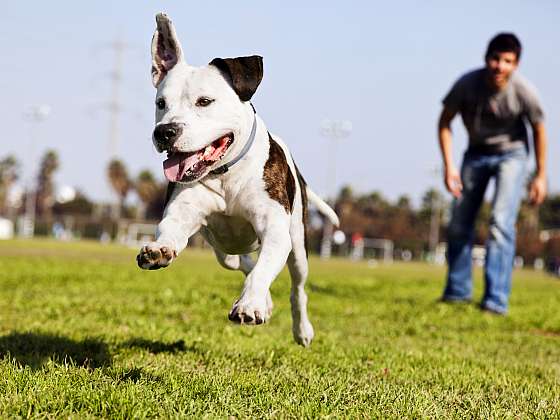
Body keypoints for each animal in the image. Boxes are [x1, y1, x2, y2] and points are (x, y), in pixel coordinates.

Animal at [138, 13, 340, 348]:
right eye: (160, 103)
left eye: (204, 101)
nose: (165, 132)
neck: (225, 174)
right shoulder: (183, 212)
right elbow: (171, 230)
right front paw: (159, 250)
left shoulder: (275, 230)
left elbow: (264, 270)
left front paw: (250, 305)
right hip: (223, 250)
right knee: (241, 263)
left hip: (298, 245)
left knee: (296, 287)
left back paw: (301, 329)